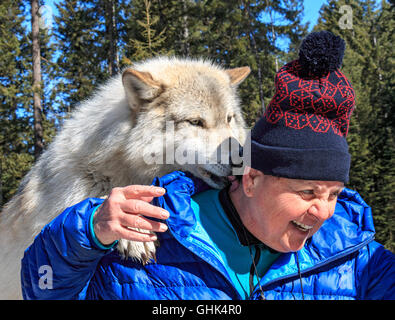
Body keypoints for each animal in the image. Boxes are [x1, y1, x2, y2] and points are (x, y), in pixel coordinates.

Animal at [0, 56, 251, 298]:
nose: (242, 157)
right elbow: (104, 197)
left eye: (229, 119)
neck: (121, 164)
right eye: (196, 122)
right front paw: (133, 231)